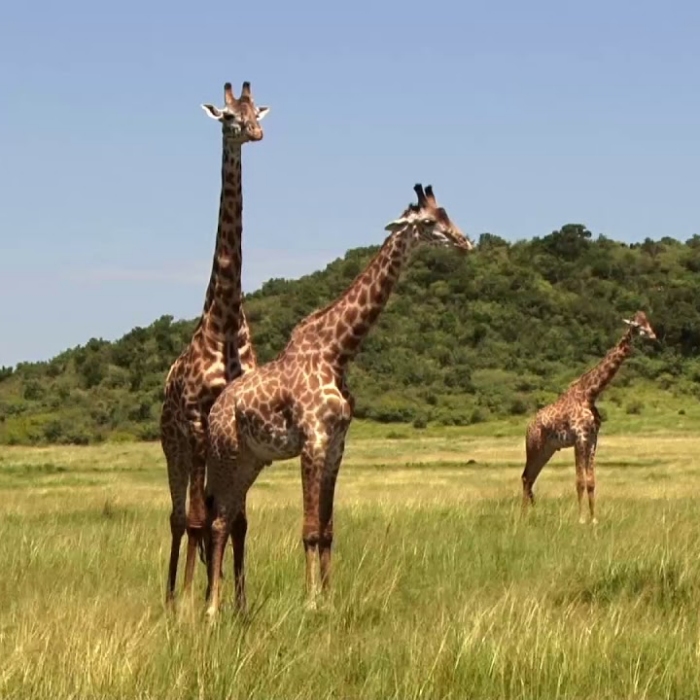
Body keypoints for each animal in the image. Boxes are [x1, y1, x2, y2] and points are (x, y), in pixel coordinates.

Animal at [203, 184, 473, 616]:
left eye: (447, 214)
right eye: (430, 222)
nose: (465, 242)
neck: (337, 352)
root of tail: (214, 411)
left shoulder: (336, 447)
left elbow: (328, 529)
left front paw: (330, 597)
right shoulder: (312, 441)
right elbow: (310, 529)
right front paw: (311, 601)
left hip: (250, 460)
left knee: (227, 521)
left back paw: (229, 607)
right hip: (225, 455)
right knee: (218, 522)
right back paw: (211, 609)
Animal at [521, 310, 657, 524]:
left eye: (648, 322)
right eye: (638, 325)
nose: (654, 335)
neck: (590, 393)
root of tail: (528, 426)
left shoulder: (592, 439)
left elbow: (591, 482)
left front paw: (594, 519)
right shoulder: (579, 438)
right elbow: (580, 482)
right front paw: (581, 519)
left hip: (547, 450)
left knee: (530, 478)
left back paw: (530, 515)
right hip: (533, 446)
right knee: (526, 477)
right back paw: (522, 517)